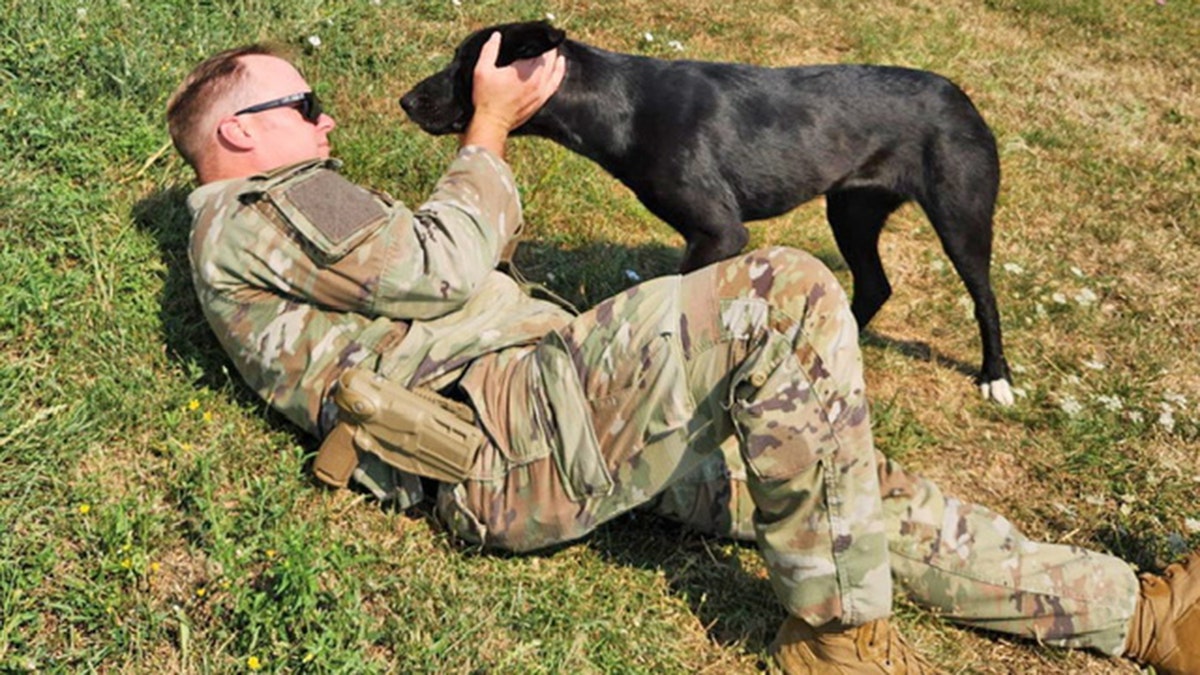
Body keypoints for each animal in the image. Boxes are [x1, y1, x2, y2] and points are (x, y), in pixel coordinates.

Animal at [403, 21, 1012, 401]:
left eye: (466, 65)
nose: (406, 101)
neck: (619, 104)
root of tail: (962, 96)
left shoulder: (719, 231)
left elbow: (679, 300)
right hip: (852, 210)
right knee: (874, 285)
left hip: (960, 214)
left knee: (984, 298)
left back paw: (995, 377)